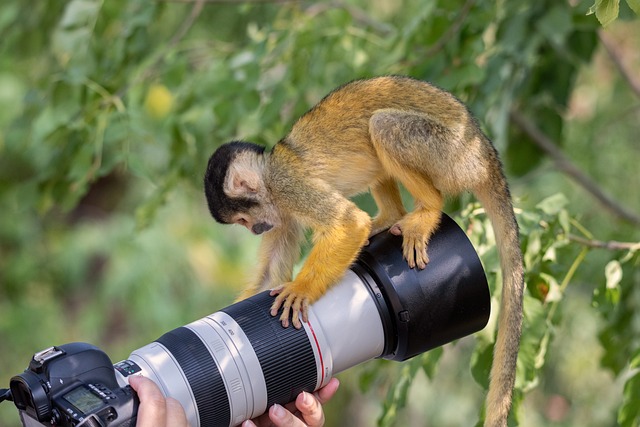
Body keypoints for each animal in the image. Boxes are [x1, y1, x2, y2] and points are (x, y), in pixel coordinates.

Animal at [205, 75, 524, 426]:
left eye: (243, 220)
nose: (255, 229)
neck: (270, 177)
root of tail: (485, 153)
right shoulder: (281, 212)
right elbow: (270, 276)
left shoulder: (287, 185)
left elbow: (348, 223)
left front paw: (300, 290)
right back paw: (392, 217)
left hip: (453, 155)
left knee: (384, 126)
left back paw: (429, 207)